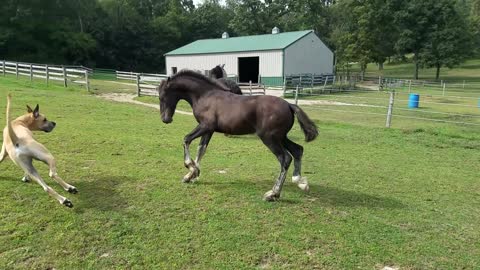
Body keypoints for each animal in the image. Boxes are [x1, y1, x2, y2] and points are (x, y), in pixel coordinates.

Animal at [158, 69, 318, 200]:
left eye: (162, 96)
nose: (166, 119)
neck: (205, 96)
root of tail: (289, 105)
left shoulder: (205, 126)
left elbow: (186, 139)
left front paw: (190, 169)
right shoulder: (209, 130)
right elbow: (201, 149)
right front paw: (192, 175)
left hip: (269, 138)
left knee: (285, 158)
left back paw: (273, 193)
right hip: (281, 137)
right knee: (298, 150)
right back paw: (300, 182)